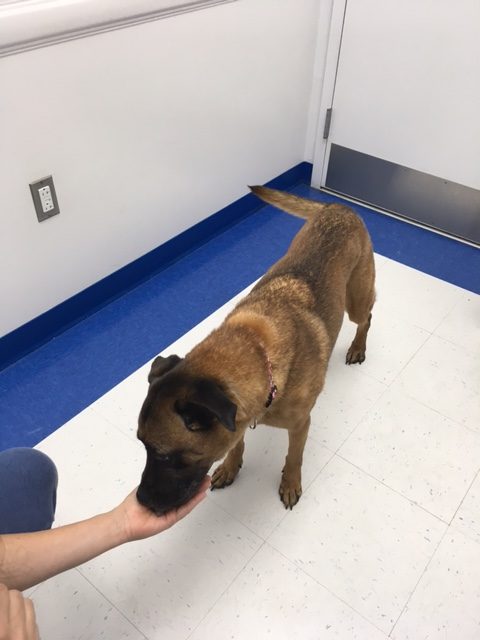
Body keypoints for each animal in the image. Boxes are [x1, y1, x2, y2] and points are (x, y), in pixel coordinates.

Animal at [136, 186, 375, 513]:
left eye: (164, 456)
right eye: (141, 444)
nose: (141, 501)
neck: (259, 354)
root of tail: (339, 207)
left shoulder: (300, 424)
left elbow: (294, 457)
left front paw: (290, 483)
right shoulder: (237, 419)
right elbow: (236, 443)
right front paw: (230, 466)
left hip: (356, 301)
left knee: (367, 317)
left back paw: (357, 347)